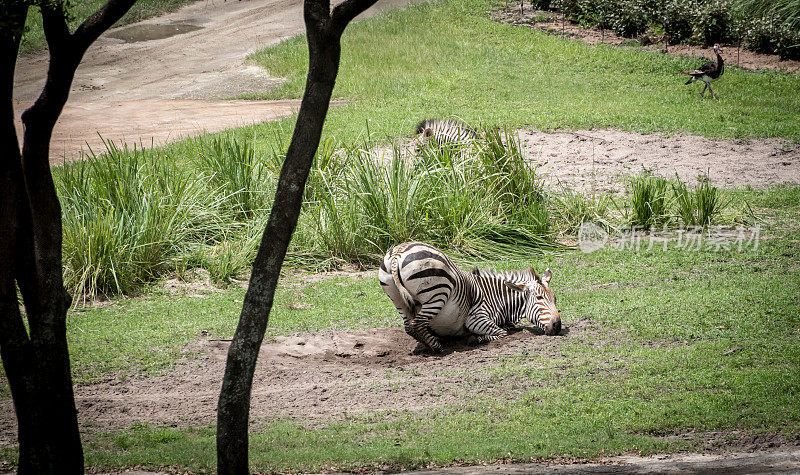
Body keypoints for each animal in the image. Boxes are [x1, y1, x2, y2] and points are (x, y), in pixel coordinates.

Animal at [378, 242, 560, 354]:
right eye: (539, 298)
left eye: (555, 299)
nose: (558, 326)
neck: (495, 296)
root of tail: (398, 252)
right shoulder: (477, 318)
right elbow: (501, 333)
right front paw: (476, 339)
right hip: (438, 294)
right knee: (416, 324)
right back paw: (437, 347)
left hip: (398, 299)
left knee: (409, 326)